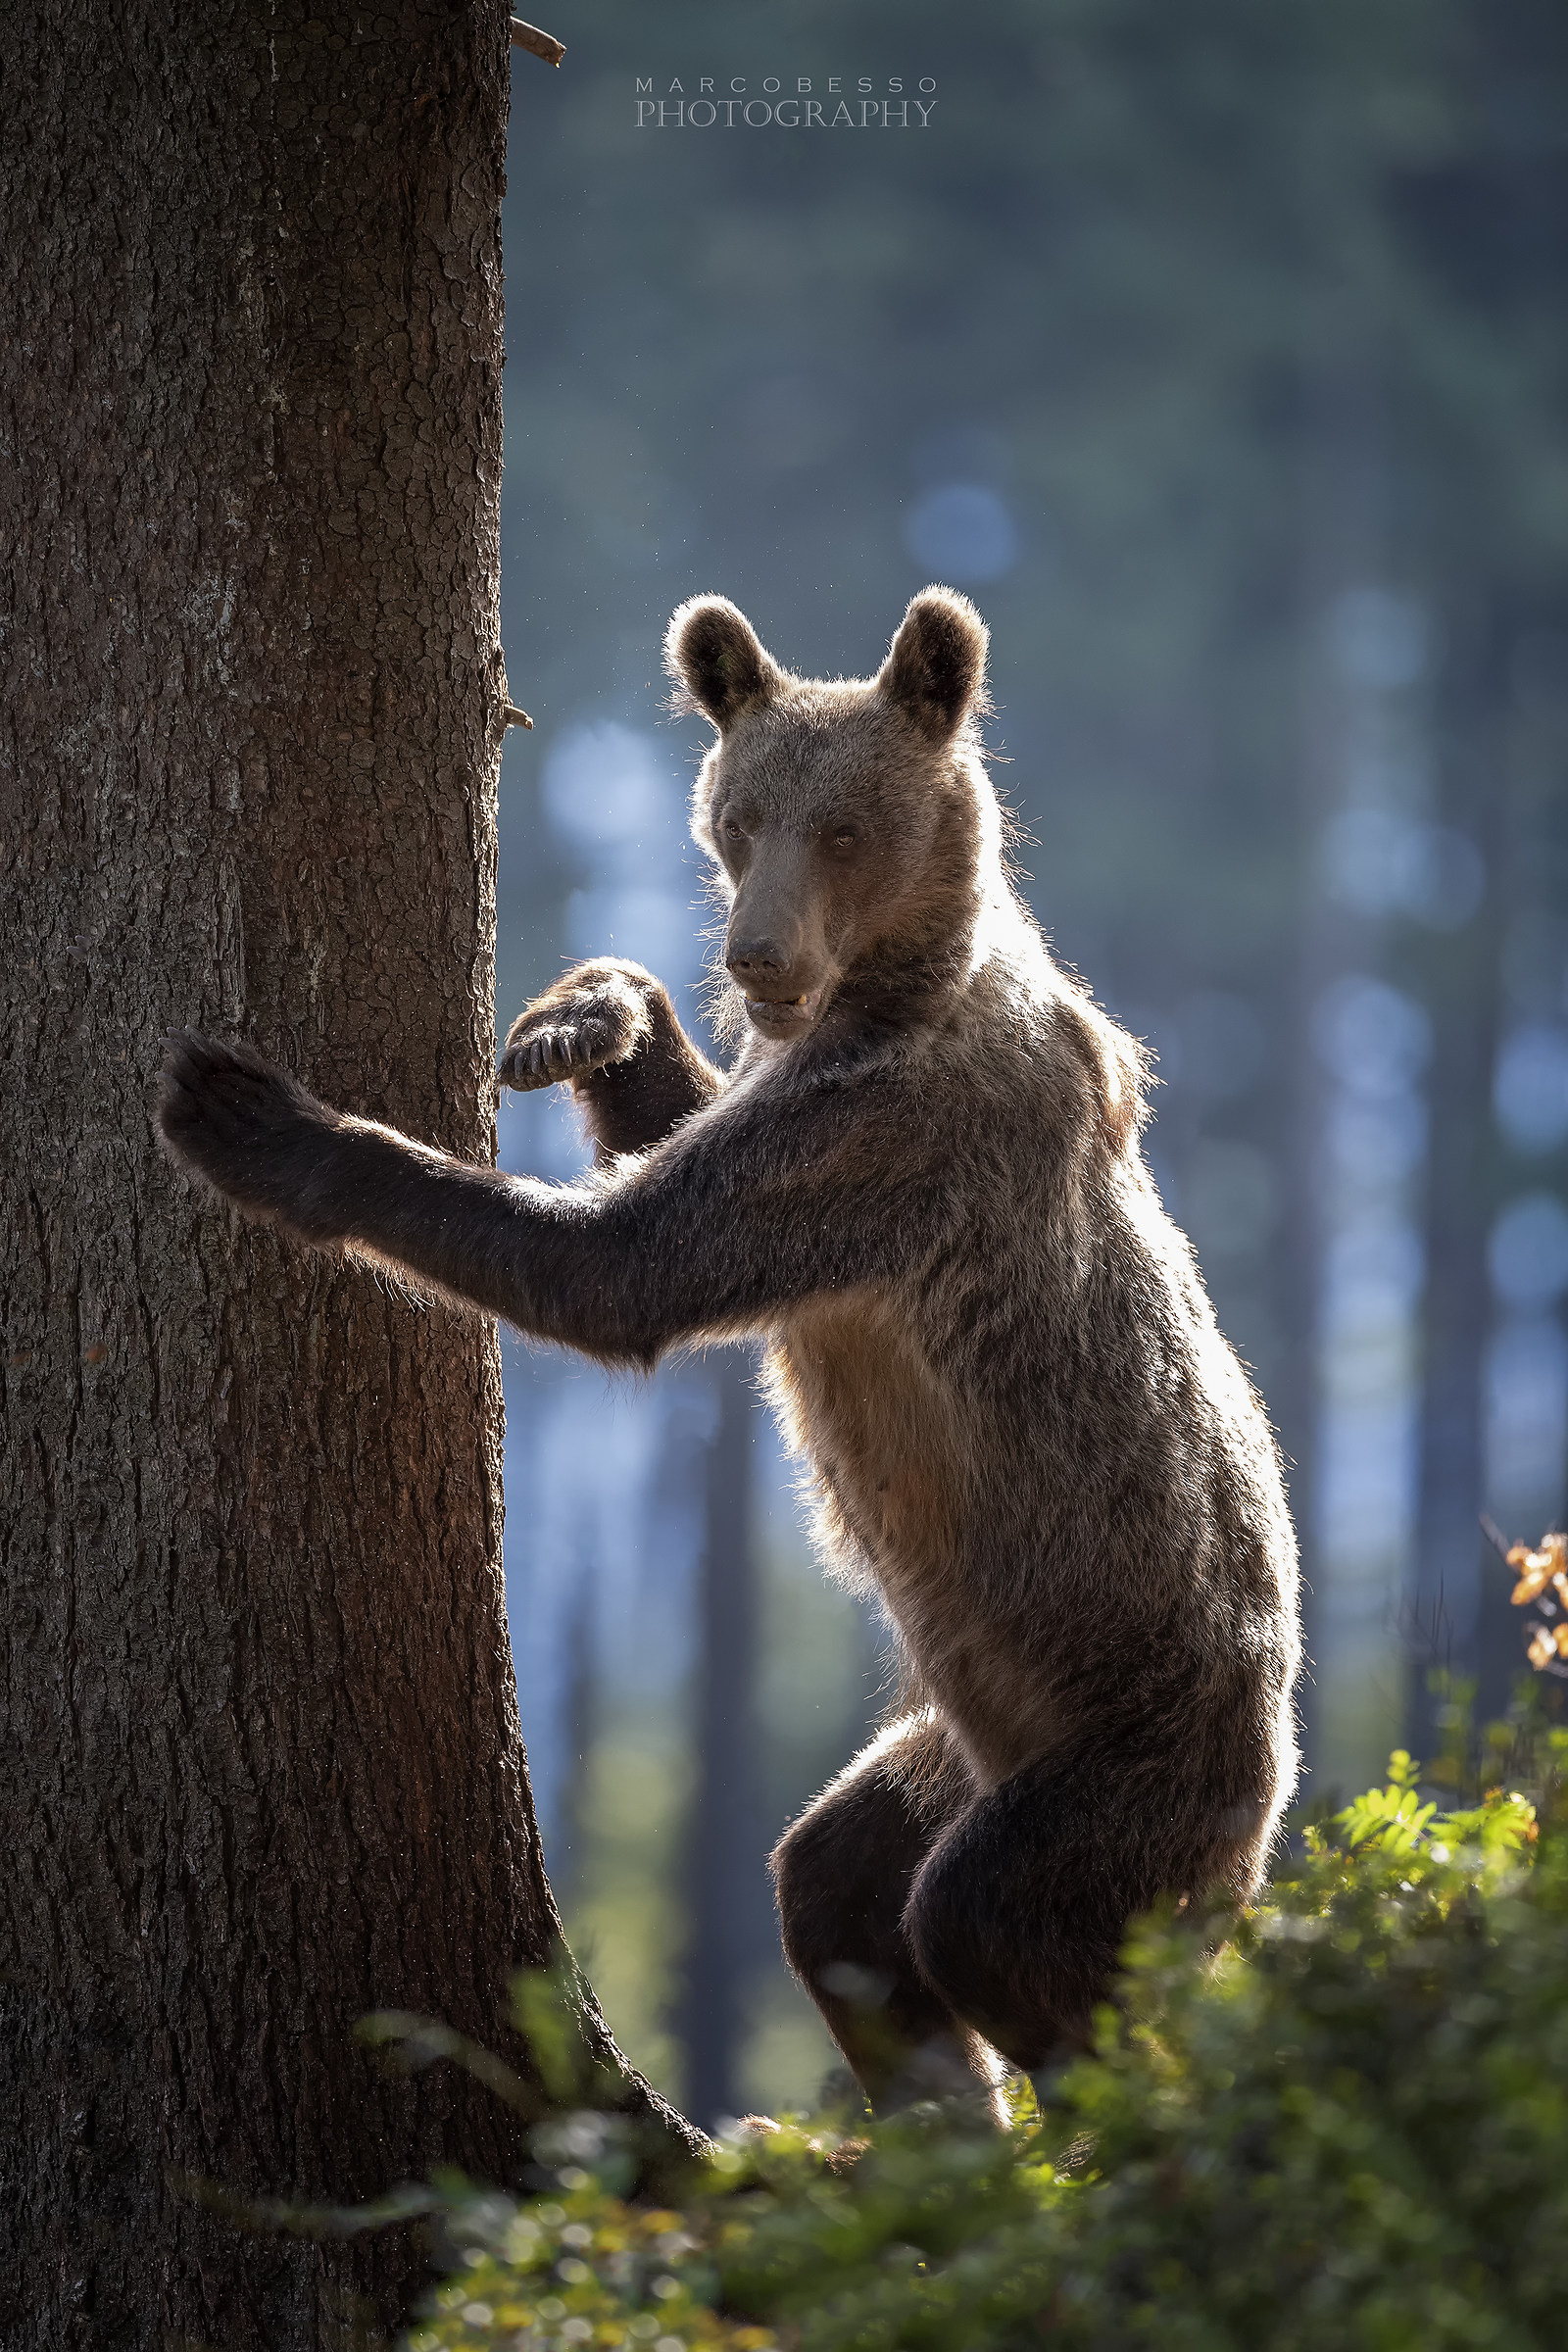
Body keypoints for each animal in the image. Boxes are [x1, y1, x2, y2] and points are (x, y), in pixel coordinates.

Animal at [156, 585, 1301, 2115]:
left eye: (846, 828)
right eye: (738, 816)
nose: (758, 955)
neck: (877, 995)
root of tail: (1267, 1798)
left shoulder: (883, 1141)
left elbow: (624, 1265)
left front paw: (251, 1116)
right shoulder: (788, 1095)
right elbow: (671, 1140)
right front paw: (586, 1016)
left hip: (1126, 1740)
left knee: (998, 1924)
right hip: (955, 1729)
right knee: (836, 1884)